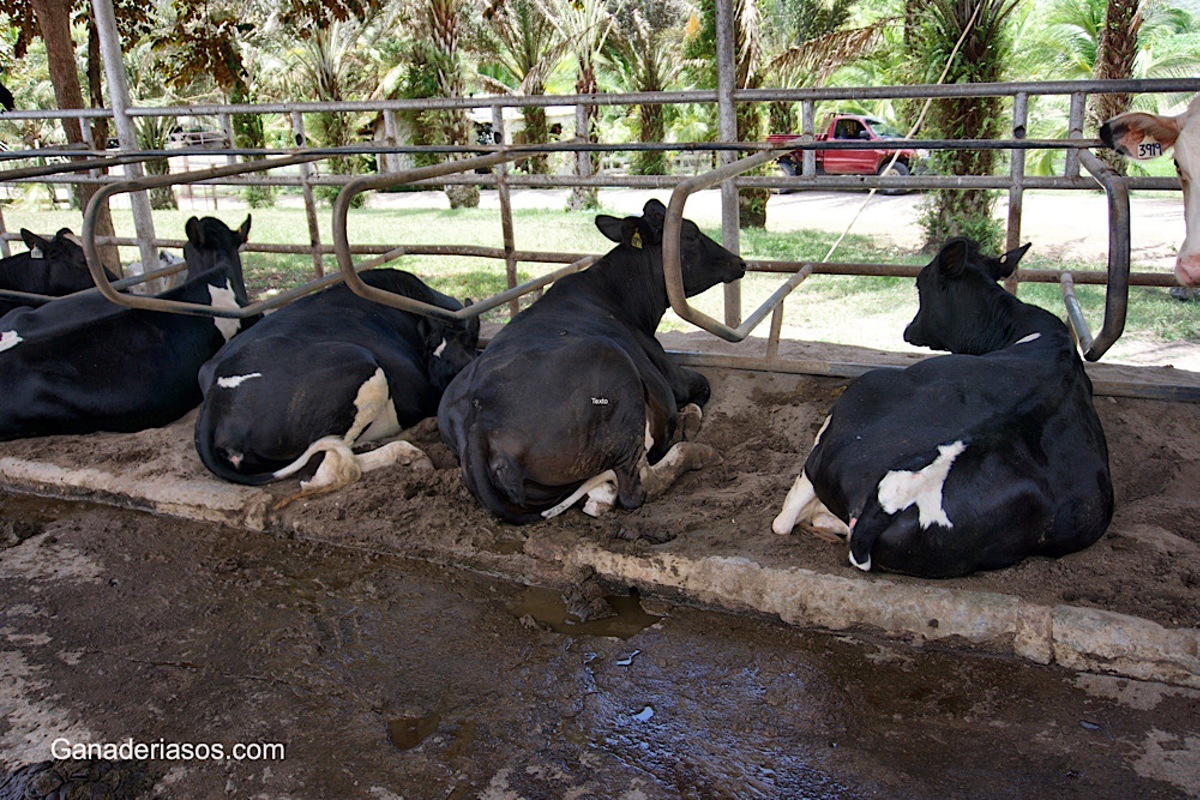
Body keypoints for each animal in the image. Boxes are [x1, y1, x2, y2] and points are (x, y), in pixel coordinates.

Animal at [436, 199, 744, 525]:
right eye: (691, 234)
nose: (740, 262)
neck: (620, 296)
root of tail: (480, 417)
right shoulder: (673, 377)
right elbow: (702, 387)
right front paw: (690, 419)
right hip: (616, 367)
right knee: (636, 485)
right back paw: (697, 451)